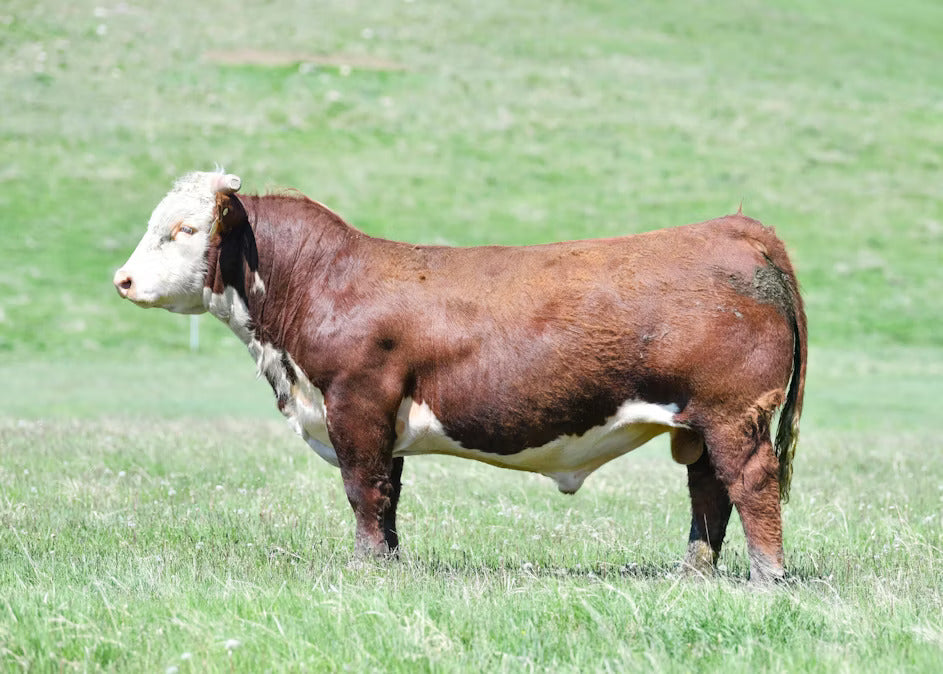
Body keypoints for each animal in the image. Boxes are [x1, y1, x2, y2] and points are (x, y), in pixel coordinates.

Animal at [114, 170, 806, 584]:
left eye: (183, 229)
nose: (121, 279)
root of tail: (735, 227)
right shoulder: (379, 420)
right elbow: (388, 495)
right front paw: (390, 565)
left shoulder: (355, 404)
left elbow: (364, 491)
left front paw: (366, 569)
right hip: (700, 423)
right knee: (708, 493)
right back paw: (694, 573)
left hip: (734, 414)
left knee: (750, 485)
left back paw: (766, 579)